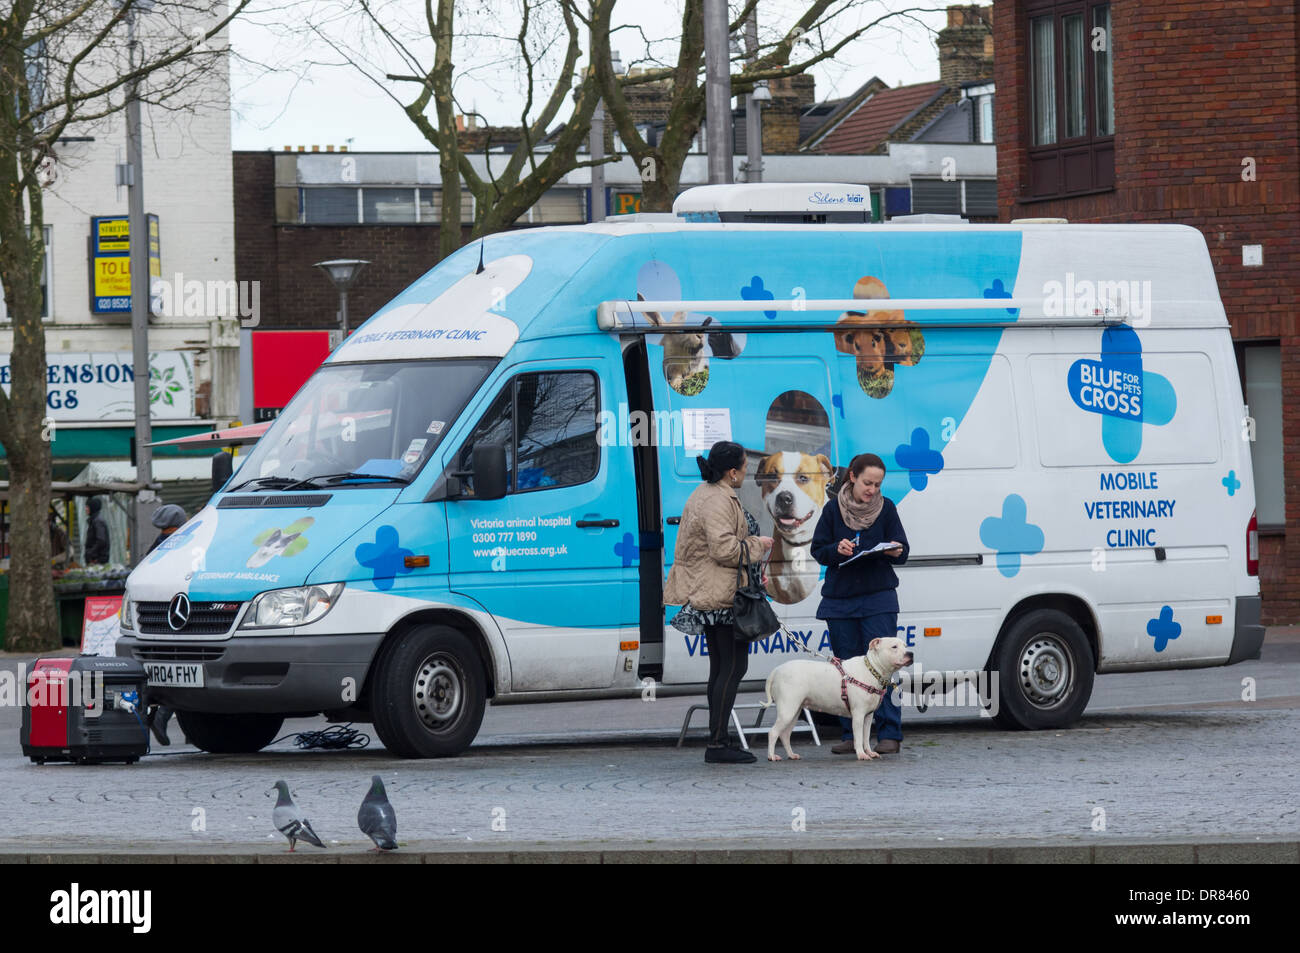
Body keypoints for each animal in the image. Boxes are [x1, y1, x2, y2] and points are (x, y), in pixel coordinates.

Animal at [759, 634, 915, 764]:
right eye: (894, 647)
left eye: (905, 645)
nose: (910, 653)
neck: (872, 670)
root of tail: (777, 670)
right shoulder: (858, 715)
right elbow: (858, 738)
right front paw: (861, 754)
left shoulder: (868, 716)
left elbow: (866, 737)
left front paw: (869, 752)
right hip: (787, 710)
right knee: (773, 733)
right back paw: (771, 756)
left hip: (794, 711)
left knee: (785, 735)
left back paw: (791, 755)